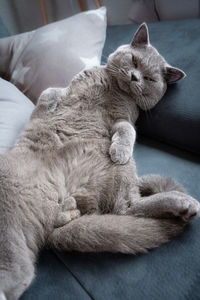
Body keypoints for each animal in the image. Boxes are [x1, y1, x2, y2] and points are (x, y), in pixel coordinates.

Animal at [0, 23, 200, 300]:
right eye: (134, 60)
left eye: (150, 79)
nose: (135, 77)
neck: (112, 87)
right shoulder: (69, 87)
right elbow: (48, 92)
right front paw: (45, 109)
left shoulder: (123, 117)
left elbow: (128, 129)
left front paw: (121, 149)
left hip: (117, 173)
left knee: (126, 208)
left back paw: (182, 204)